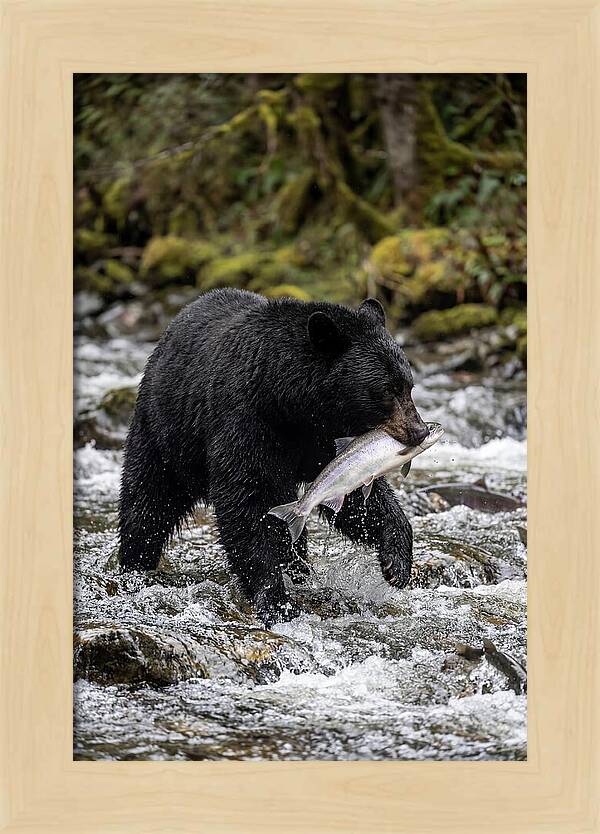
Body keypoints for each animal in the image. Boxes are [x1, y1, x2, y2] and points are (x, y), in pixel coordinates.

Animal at [119, 288, 428, 624]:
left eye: (409, 386)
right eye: (386, 390)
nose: (420, 431)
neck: (290, 403)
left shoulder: (324, 440)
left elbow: (354, 494)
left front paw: (396, 562)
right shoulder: (246, 421)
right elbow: (245, 501)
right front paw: (275, 600)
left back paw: (299, 569)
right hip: (165, 433)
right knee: (147, 501)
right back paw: (134, 565)